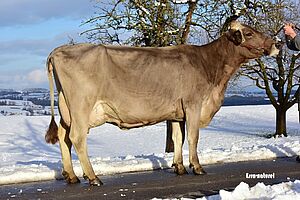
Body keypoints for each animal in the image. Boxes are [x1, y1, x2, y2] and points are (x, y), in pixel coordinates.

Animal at [45, 21, 280, 185]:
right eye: (248, 33)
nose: (276, 44)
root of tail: (58, 50)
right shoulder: (193, 104)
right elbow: (193, 137)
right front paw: (196, 167)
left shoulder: (176, 112)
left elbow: (177, 138)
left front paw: (179, 167)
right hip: (81, 107)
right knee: (77, 137)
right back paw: (93, 177)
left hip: (67, 109)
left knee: (64, 136)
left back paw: (72, 176)